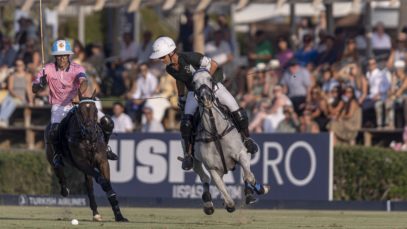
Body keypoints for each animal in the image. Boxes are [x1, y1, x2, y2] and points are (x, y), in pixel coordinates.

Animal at [44, 91, 127, 222]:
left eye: (96, 110)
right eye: (79, 111)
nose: (90, 132)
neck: (88, 140)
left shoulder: (102, 161)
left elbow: (106, 182)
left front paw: (119, 216)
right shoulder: (81, 162)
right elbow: (102, 180)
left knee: (89, 188)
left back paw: (96, 213)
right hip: (52, 155)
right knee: (58, 169)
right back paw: (65, 190)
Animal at [190, 68, 270, 215]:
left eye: (210, 79)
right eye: (193, 82)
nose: (206, 98)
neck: (216, 132)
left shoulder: (241, 153)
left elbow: (249, 176)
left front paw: (258, 190)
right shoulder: (212, 167)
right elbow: (226, 196)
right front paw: (226, 203)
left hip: (246, 149)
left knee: (246, 172)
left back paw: (252, 193)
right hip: (195, 162)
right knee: (204, 177)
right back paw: (208, 204)